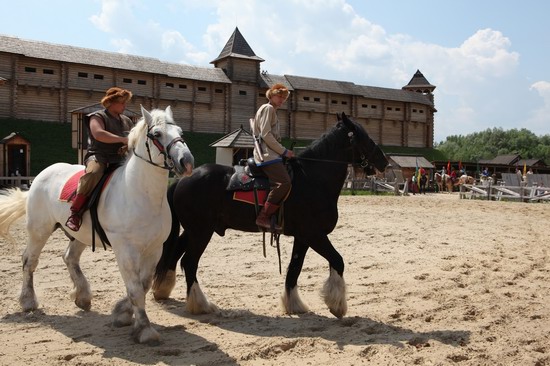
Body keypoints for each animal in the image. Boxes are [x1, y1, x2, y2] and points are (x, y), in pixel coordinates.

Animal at [0, 105, 194, 344]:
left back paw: (82, 296)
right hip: (39, 230)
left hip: (80, 234)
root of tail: (41, 176)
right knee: (29, 261)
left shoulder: (154, 249)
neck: (140, 194)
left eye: (180, 132)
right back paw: (28, 301)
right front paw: (144, 329)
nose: (186, 161)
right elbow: (135, 289)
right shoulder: (125, 250)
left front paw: (122, 313)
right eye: (156, 134)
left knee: (69, 257)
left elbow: (144, 284)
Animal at [153, 113, 390, 318]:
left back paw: (163, 289)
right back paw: (200, 304)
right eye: (363, 136)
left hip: (194, 230)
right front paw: (337, 305)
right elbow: (337, 261)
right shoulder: (314, 235)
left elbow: (294, 268)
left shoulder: (303, 238)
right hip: (201, 232)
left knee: (175, 254)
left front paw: (294, 304)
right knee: (189, 262)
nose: (384, 162)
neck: (312, 179)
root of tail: (183, 180)